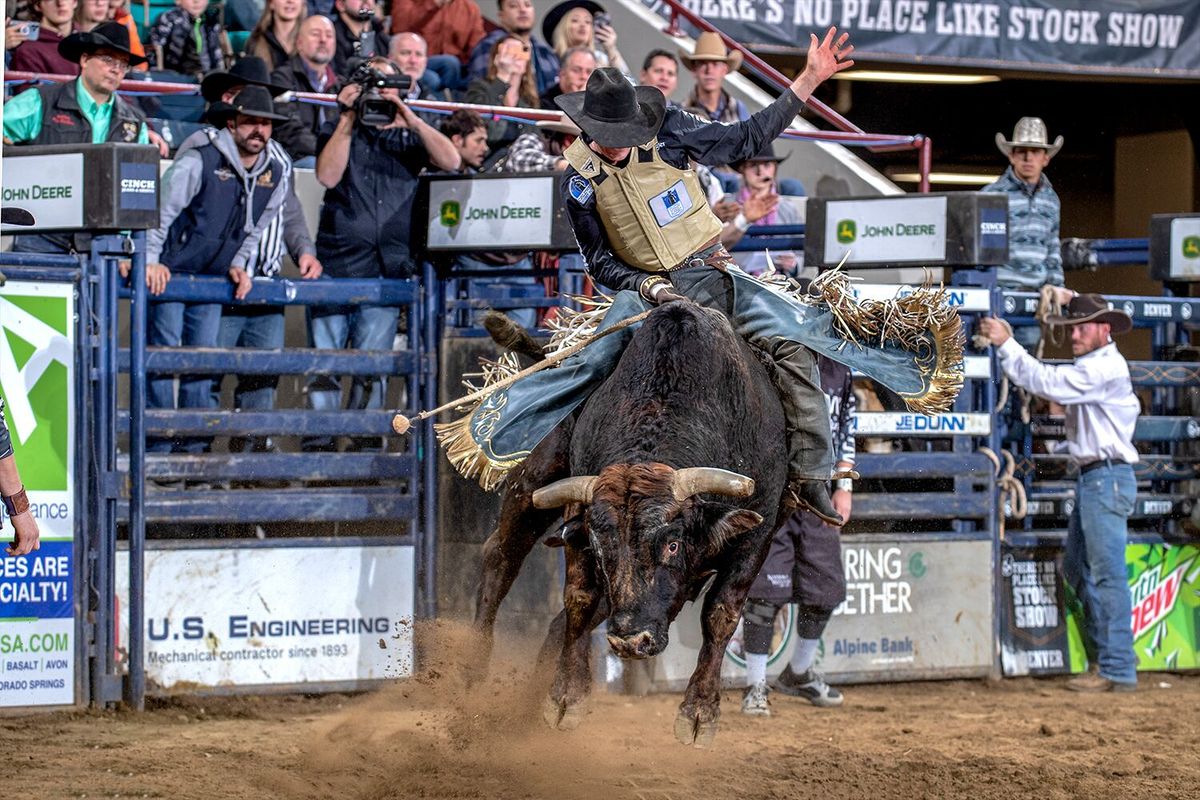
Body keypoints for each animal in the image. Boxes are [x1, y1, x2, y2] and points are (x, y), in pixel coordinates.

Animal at [472, 299, 792, 743]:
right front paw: (567, 697)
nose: (629, 641)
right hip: (534, 479)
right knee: (499, 559)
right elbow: (579, 598)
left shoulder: (756, 532)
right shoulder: (578, 519)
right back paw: (473, 672)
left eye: (672, 544)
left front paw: (699, 712)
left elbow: (722, 612)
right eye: (599, 546)